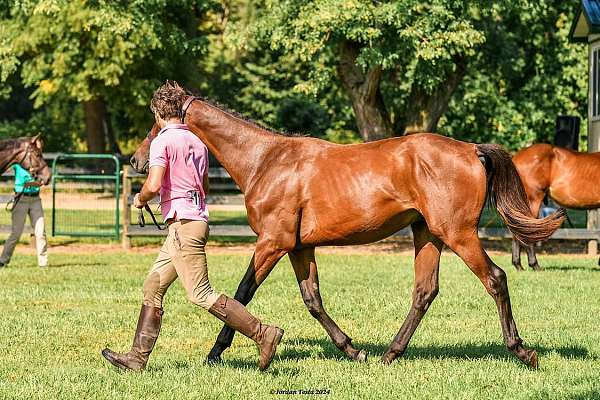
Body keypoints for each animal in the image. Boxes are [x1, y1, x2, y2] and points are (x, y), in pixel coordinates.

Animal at [130, 92, 564, 368]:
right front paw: (351, 350)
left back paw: (522, 351)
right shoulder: (299, 248)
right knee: (424, 292)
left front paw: (216, 352)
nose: (136, 160)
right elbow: (312, 300)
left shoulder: (272, 243)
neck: (266, 161)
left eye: (157, 125)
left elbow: (241, 293)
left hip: (458, 234)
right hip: (427, 235)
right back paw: (389, 354)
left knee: (495, 278)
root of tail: (471, 149)